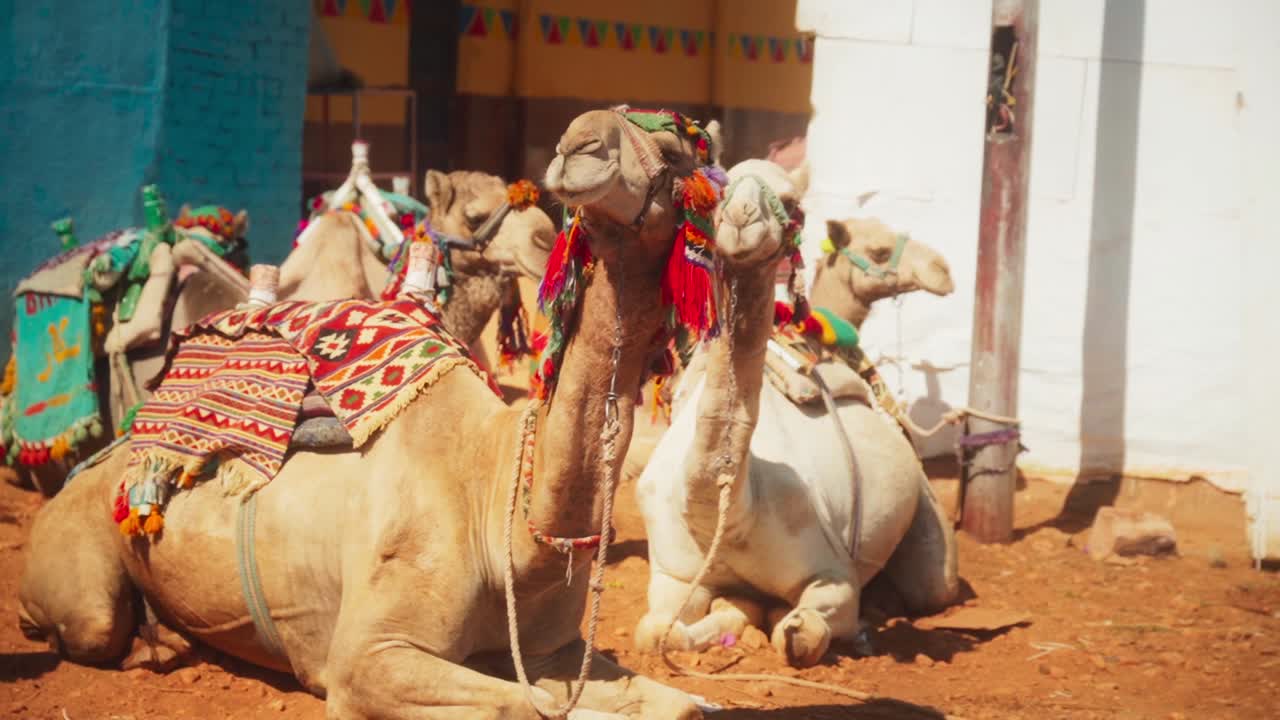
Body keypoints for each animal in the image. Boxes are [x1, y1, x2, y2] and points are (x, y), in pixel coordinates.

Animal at [18, 107, 723, 719]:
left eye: (674, 150)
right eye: (476, 212)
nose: (580, 143)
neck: (497, 504)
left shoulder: (558, 652)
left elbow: (679, 704)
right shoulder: (366, 660)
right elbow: (517, 704)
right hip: (81, 575)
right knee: (85, 622)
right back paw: (153, 641)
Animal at [633, 159, 960, 667]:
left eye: (791, 202)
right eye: (717, 193)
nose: (742, 219)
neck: (730, 511)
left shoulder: (834, 575)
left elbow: (802, 632)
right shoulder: (673, 576)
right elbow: (654, 631)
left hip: (929, 530)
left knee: (933, 585)